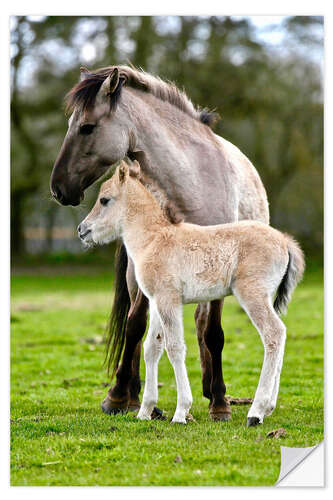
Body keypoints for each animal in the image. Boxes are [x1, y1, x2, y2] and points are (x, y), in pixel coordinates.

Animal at [49, 64, 268, 420]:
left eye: (87, 127)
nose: (58, 188)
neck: (190, 185)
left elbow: (213, 333)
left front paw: (220, 403)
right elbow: (135, 326)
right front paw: (118, 396)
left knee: (202, 324)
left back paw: (211, 389)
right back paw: (135, 394)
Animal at [78, 161, 304, 426]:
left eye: (104, 200)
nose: (82, 230)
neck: (153, 240)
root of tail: (285, 241)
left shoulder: (169, 300)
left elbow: (175, 348)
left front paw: (181, 412)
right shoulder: (156, 301)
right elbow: (152, 348)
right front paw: (145, 411)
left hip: (252, 294)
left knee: (273, 334)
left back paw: (256, 412)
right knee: (281, 334)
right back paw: (268, 407)